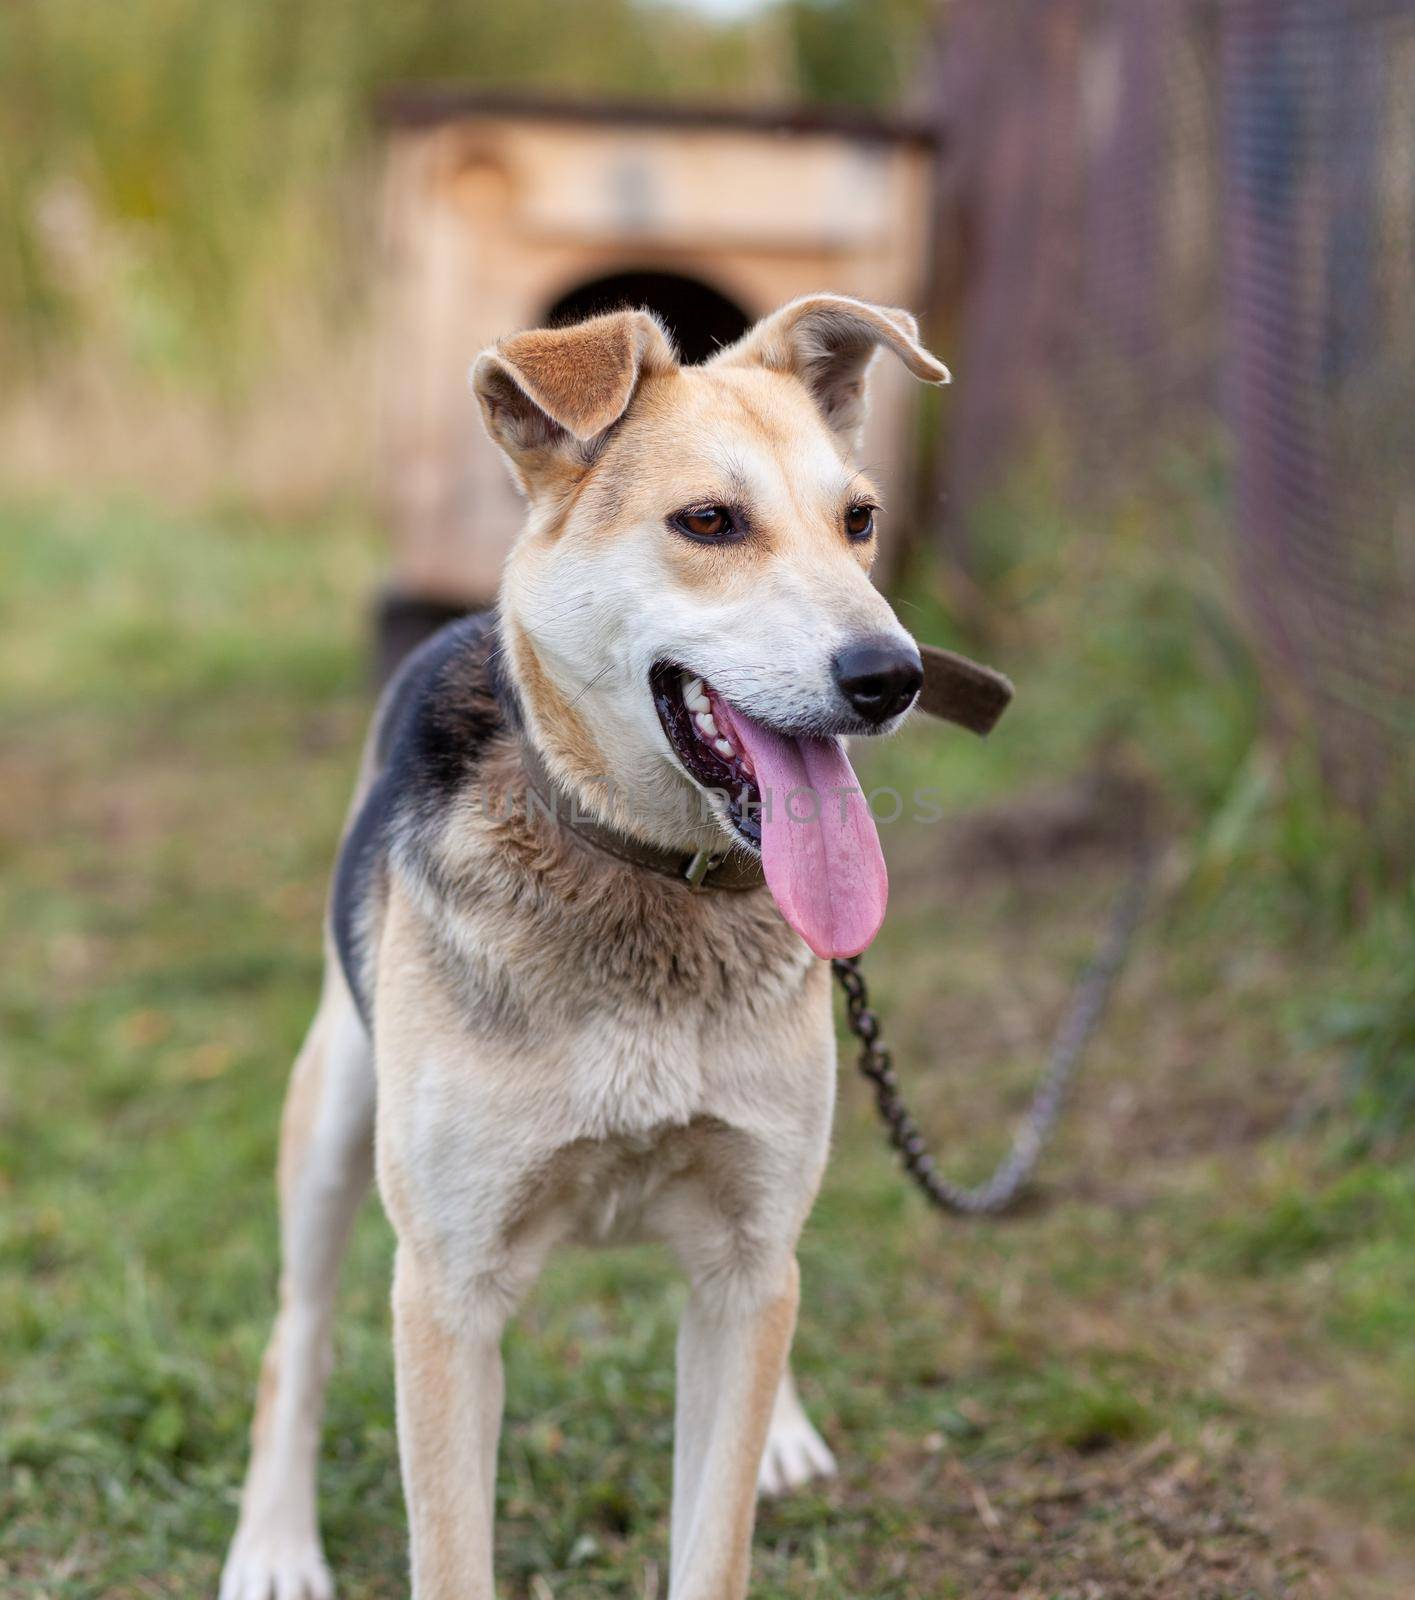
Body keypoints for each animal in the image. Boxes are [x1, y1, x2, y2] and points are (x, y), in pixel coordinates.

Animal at [220, 294, 947, 1593]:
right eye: (707, 522)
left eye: (858, 521)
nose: (890, 675)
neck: (647, 879)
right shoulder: (447, 1296)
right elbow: (448, 1551)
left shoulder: (744, 1257)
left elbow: (713, 1537)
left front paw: (765, 1443)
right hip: (334, 1115)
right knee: (293, 1339)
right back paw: (273, 1542)